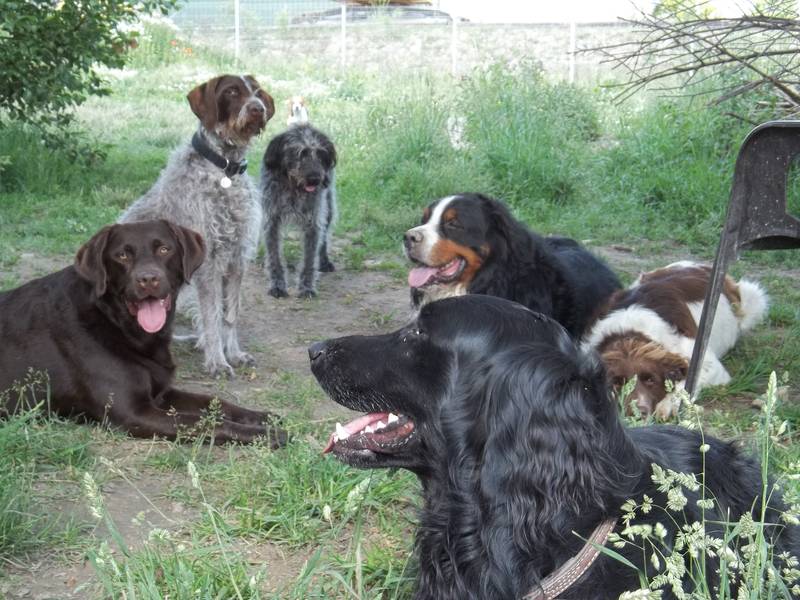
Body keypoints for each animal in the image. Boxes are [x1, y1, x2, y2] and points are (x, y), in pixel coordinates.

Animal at [0, 221, 286, 446]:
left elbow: (214, 402)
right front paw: (265, 435)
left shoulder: (161, 393)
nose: (148, 279)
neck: (115, 322)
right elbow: (207, 423)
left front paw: (263, 417)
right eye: (122, 256)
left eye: (164, 249)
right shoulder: (135, 413)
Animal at [120, 74, 275, 378]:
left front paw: (233, 353)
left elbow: (229, 315)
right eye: (231, 92)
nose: (258, 109)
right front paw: (217, 361)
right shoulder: (209, 263)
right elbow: (212, 316)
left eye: (257, 92)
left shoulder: (236, 258)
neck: (225, 170)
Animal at [260, 123, 337, 298]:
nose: (315, 179)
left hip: (328, 209)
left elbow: (309, 258)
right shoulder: (271, 220)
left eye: (320, 153)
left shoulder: (313, 222)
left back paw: (324, 261)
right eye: (300, 153)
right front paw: (277, 285)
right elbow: (274, 256)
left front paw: (306, 287)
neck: (293, 187)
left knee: (324, 237)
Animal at [584, 261, 768, 419]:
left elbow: (686, 384)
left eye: (650, 380)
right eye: (616, 383)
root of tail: (702, 264)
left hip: (752, 300)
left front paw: (667, 404)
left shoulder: (707, 364)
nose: (638, 413)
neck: (628, 331)